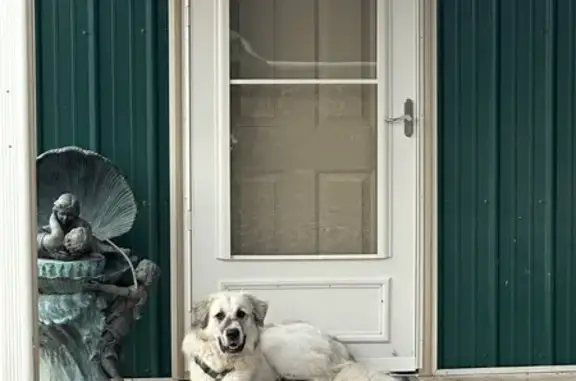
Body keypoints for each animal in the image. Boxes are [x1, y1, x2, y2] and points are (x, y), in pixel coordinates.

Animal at [182, 290, 402, 380]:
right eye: (219, 315)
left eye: (241, 314)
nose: (233, 333)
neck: (224, 364)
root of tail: (335, 342)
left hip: (277, 348)